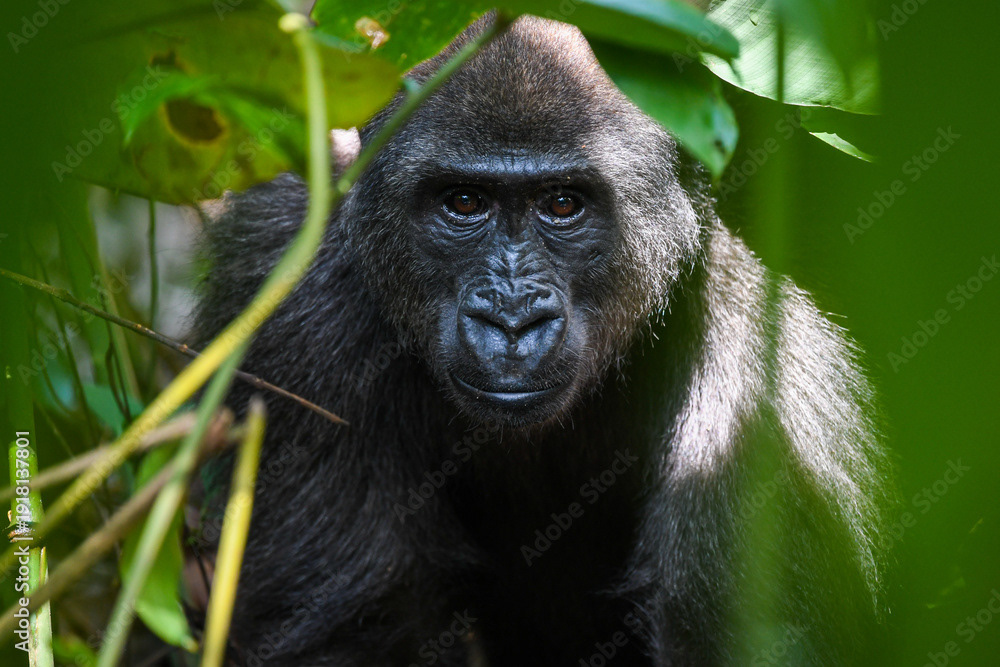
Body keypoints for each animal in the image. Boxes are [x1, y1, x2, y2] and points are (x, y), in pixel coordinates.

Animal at [192, 13, 894, 667]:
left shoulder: (765, 357)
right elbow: (359, 627)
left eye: (562, 205)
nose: (511, 321)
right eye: (464, 202)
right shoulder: (291, 288)